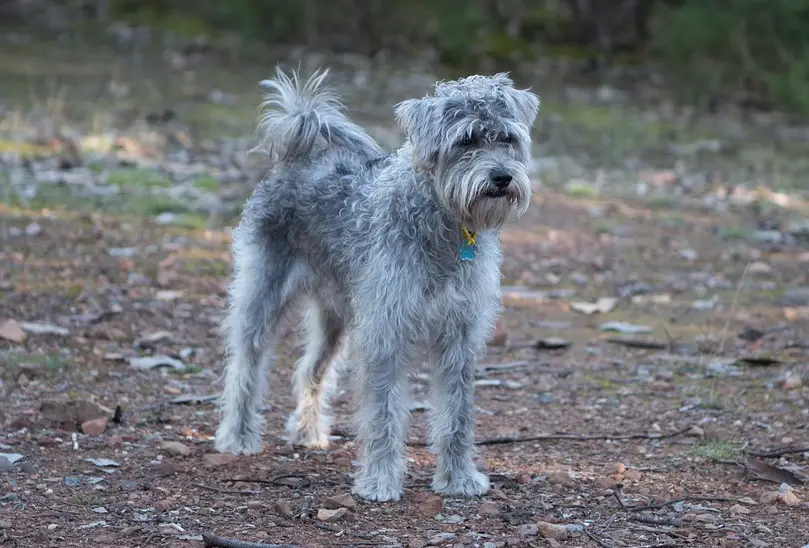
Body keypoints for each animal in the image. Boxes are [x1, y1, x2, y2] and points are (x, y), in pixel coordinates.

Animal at [218, 67, 540, 500]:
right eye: (466, 141)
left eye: (507, 138)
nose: (502, 177)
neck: (442, 223)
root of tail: (297, 159)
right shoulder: (386, 333)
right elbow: (384, 413)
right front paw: (380, 481)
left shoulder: (459, 334)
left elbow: (457, 413)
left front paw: (458, 478)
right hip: (263, 296)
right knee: (245, 367)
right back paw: (237, 436)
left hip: (336, 318)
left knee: (310, 371)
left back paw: (308, 432)